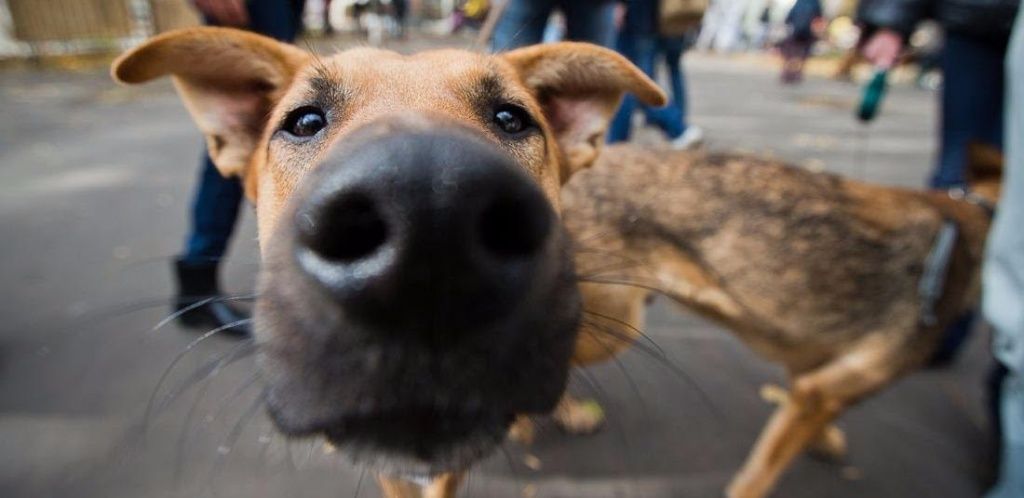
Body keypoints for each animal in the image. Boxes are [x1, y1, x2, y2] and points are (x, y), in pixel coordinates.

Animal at [561, 141, 999, 498]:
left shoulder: (811, 372)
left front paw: (824, 441)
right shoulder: (821, 389)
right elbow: (760, 476)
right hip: (613, 328)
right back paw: (567, 415)